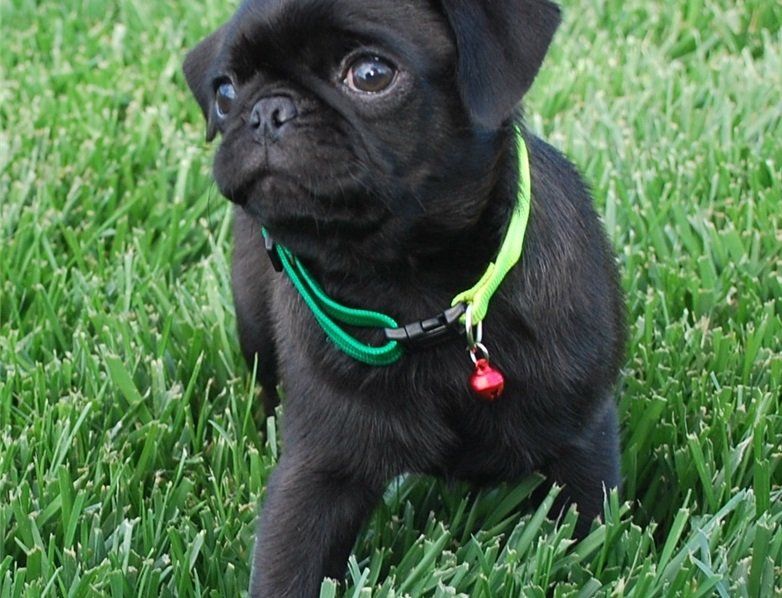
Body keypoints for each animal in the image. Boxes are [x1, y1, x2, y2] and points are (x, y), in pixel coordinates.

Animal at [184, 0, 625, 595]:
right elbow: (290, 562)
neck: (411, 291)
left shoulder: (580, 440)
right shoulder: (321, 469)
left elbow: (586, 535)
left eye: (371, 75)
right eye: (225, 93)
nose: (266, 110)